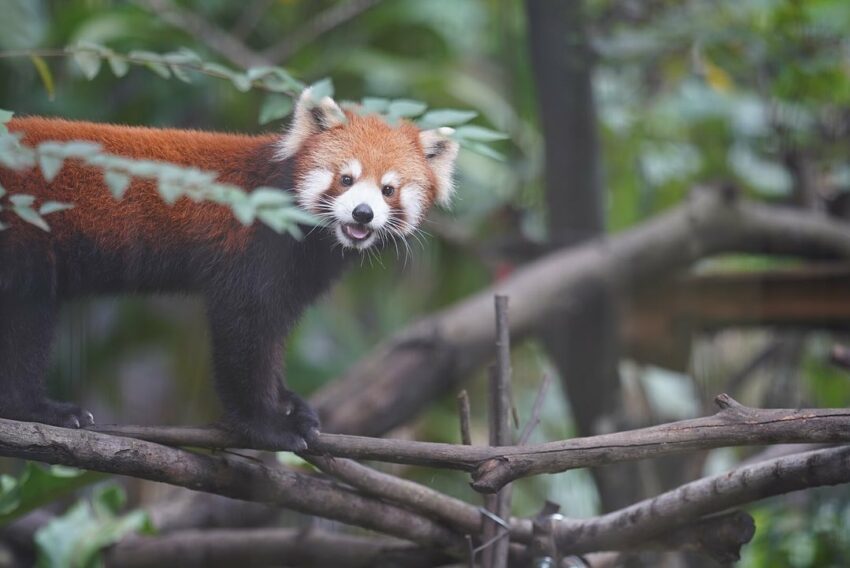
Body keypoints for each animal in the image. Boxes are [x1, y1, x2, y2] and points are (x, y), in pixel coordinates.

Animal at [0, 90, 458, 452]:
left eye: (388, 189)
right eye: (345, 179)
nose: (363, 213)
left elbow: (273, 331)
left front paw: (286, 402)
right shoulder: (252, 251)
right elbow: (244, 333)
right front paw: (267, 423)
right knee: (25, 325)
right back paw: (39, 410)